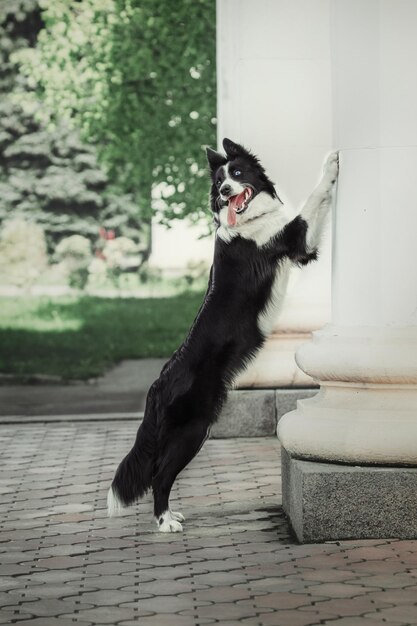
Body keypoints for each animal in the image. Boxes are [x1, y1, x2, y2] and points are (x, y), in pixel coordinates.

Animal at [107, 139, 338, 528]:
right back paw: (165, 522)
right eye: (219, 182)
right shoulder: (294, 237)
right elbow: (313, 196)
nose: (226, 191)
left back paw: (169, 515)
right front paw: (331, 164)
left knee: (158, 471)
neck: (250, 220)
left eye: (238, 173)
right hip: (193, 429)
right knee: (160, 474)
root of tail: (157, 387)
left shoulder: (304, 250)